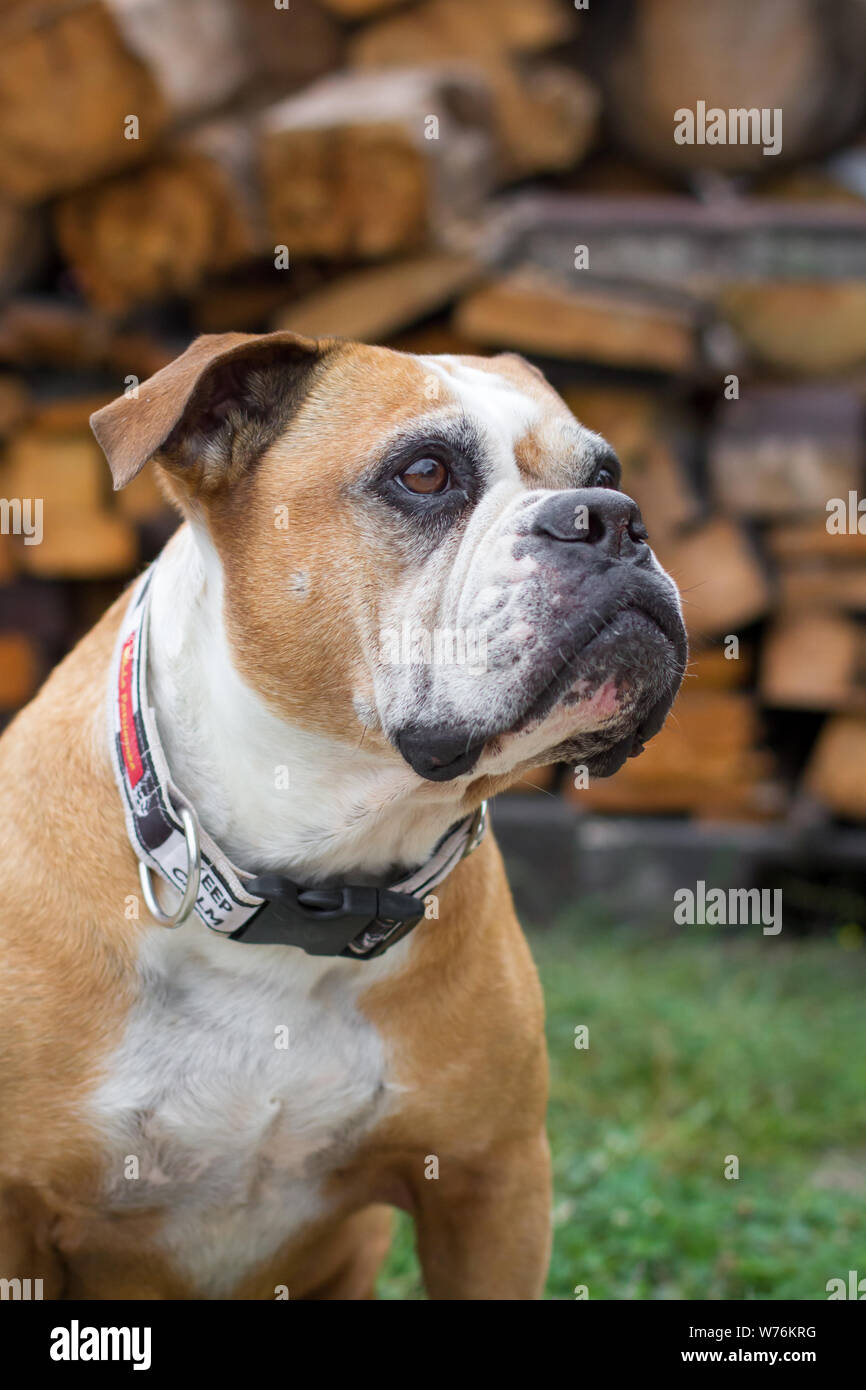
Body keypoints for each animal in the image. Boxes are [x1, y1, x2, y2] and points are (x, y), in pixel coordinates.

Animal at [1, 333, 692, 1301]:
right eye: (425, 473)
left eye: (607, 471)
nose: (613, 519)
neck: (301, 885)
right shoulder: (17, 1214)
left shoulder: (492, 1184)